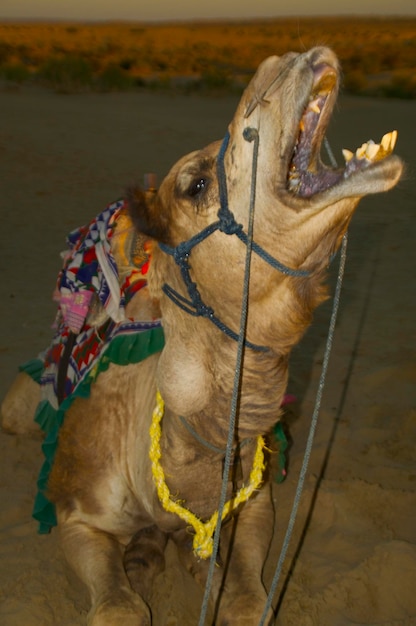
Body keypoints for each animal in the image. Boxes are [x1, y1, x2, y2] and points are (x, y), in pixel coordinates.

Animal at [0, 46, 404, 620]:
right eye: (196, 184)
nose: (293, 58)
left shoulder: (255, 501)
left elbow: (249, 603)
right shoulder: (75, 513)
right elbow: (119, 608)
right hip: (19, 408)